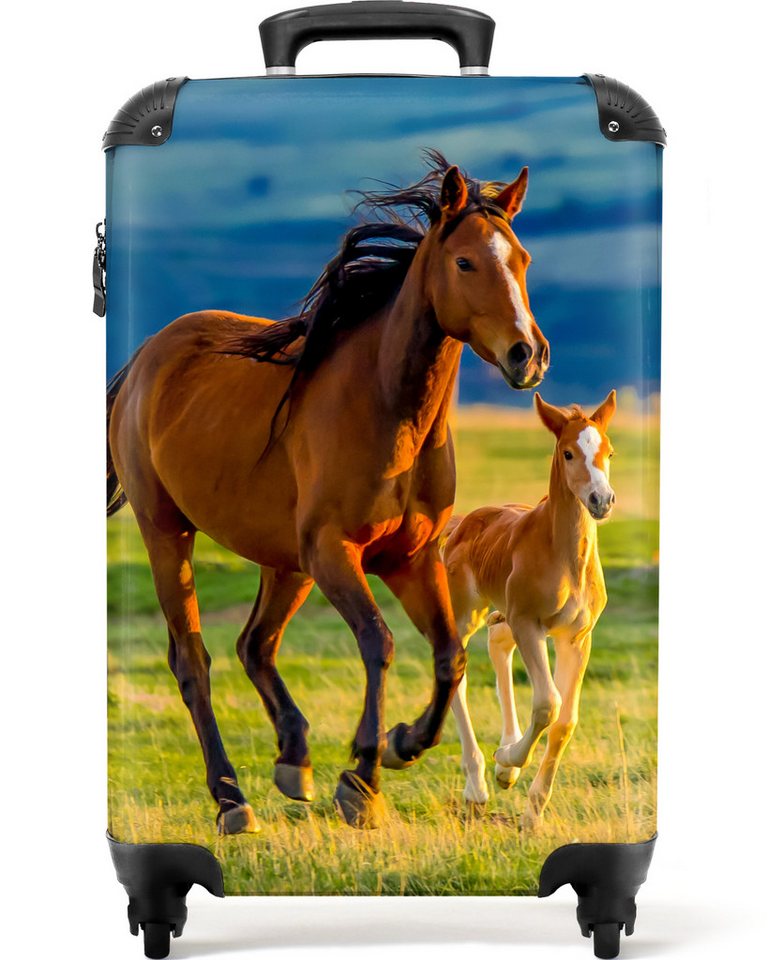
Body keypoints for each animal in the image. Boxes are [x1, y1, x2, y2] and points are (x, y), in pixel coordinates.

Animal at [106, 150, 550, 834]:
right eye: (465, 262)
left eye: (522, 258)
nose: (528, 355)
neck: (387, 411)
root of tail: (146, 359)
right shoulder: (336, 552)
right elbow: (379, 642)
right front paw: (362, 777)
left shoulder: (410, 558)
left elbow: (449, 656)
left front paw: (400, 744)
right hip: (169, 535)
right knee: (194, 662)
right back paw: (231, 798)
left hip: (285, 561)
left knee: (255, 645)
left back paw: (294, 760)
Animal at [442, 390, 616, 829]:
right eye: (568, 453)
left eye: (609, 452)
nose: (601, 501)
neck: (565, 556)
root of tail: (463, 522)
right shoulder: (529, 624)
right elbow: (547, 703)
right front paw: (507, 761)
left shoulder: (576, 637)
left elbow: (566, 720)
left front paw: (532, 811)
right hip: (466, 612)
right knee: (457, 670)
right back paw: (479, 785)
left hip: (504, 615)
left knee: (498, 644)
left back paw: (503, 766)